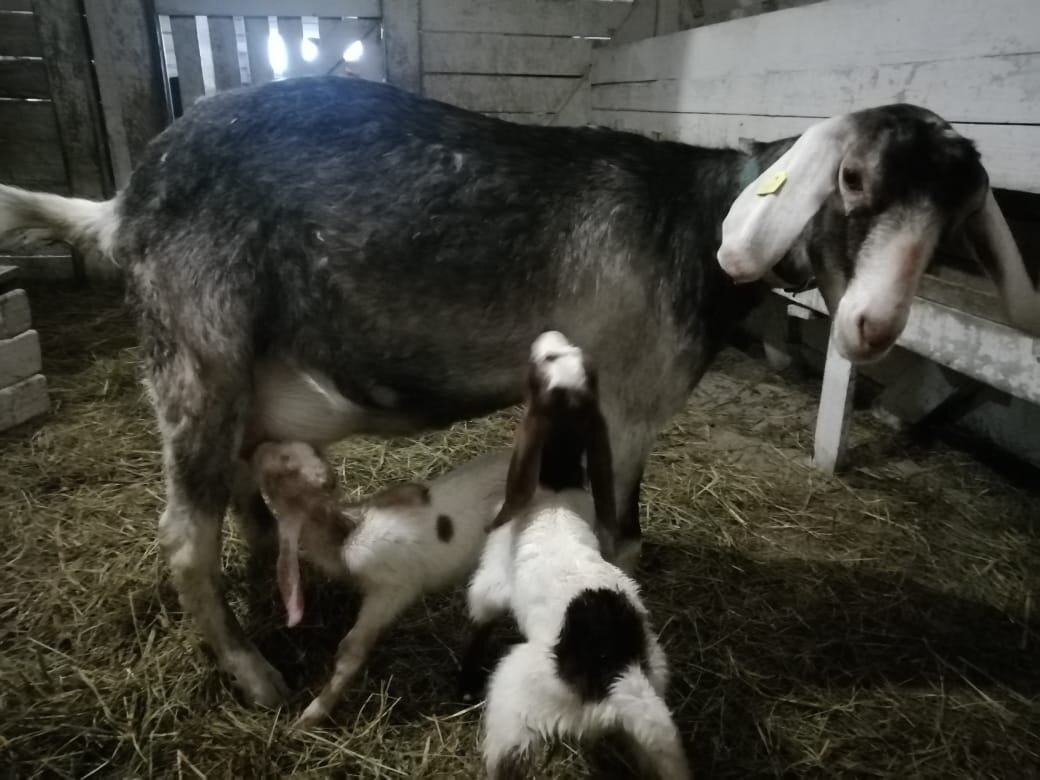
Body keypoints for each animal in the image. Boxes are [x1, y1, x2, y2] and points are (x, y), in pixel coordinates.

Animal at [253, 440, 509, 728]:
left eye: (284, 466)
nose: (259, 449)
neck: (346, 536)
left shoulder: (391, 591)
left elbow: (351, 648)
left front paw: (311, 715)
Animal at [465, 332, 690, 780]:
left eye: (545, 363)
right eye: (567, 356)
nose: (548, 336)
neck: (555, 484)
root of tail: (620, 677)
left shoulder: (491, 580)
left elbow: (479, 615)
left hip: (516, 694)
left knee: (505, 755)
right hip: (654, 689)